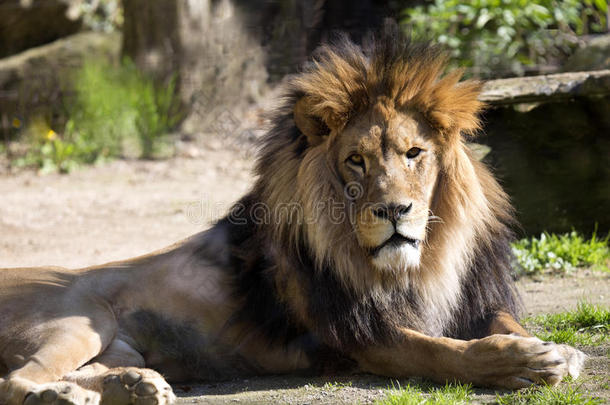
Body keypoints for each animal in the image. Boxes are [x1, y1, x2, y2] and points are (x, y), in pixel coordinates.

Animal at [0, 23, 584, 402]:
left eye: (414, 153)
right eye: (356, 160)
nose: (394, 209)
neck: (423, 263)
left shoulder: (476, 299)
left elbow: (503, 322)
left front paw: (555, 351)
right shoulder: (359, 336)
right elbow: (442, 352)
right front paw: (523, 361)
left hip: (120, 347)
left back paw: (134, 387)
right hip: (82, 318)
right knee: (12, 381)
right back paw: (57, 397)